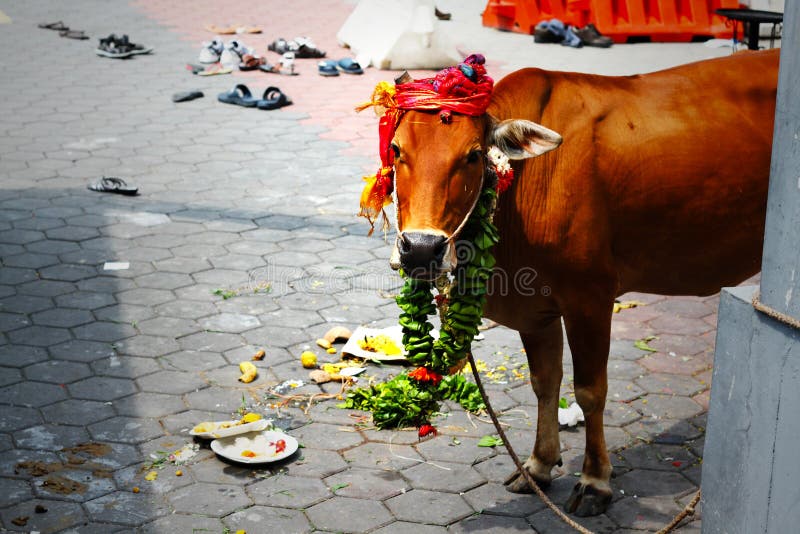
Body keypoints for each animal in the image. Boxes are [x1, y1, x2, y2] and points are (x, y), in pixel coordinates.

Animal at [390, 51, 780, 520]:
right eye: (396, 150)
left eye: (473, 155)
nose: (420, 249)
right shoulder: (535, 308)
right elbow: (545, 382)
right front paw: (538, 466)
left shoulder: (589, 296)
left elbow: (589, 392)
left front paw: (595, 481)